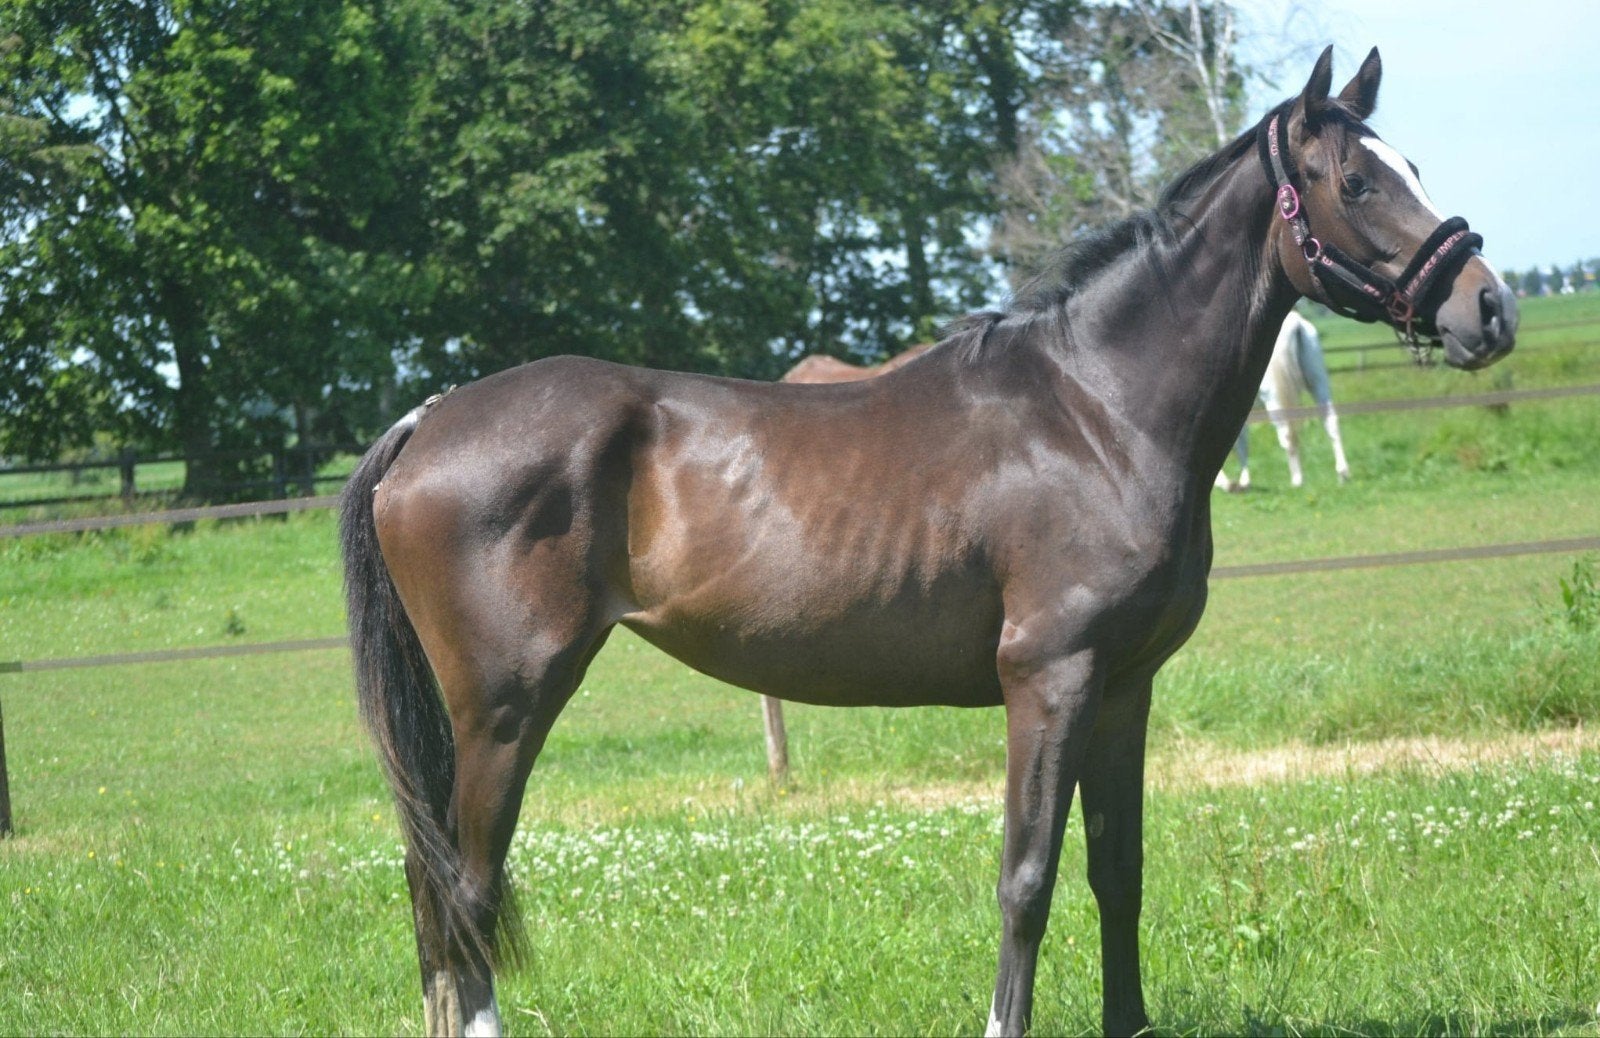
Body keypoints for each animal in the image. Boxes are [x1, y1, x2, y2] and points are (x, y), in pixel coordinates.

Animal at [1215, 310, 1351, 491]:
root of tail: (1295, 322)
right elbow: (1240, 442)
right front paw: (1243, 481)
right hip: (1318, 383)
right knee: (1331, 421)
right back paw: (1342, 474)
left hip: (1274, 398)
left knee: (1288, 432)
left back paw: (1297, 479)